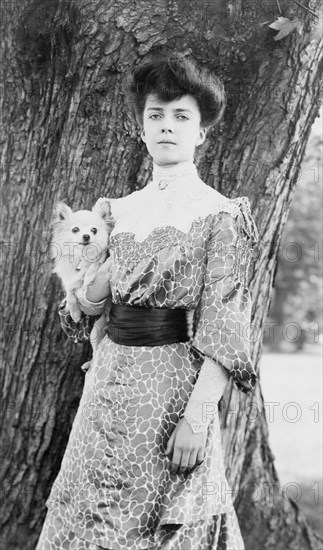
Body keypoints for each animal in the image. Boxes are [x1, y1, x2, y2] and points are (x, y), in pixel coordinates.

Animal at [51, 198, 115, 326]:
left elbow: (94, 265)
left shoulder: (101, 258)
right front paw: (75, 313)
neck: (82, 256)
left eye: (94, 230)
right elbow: (70, 294)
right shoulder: (69, 281)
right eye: (75, 229)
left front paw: (88, 279)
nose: (86, 236)